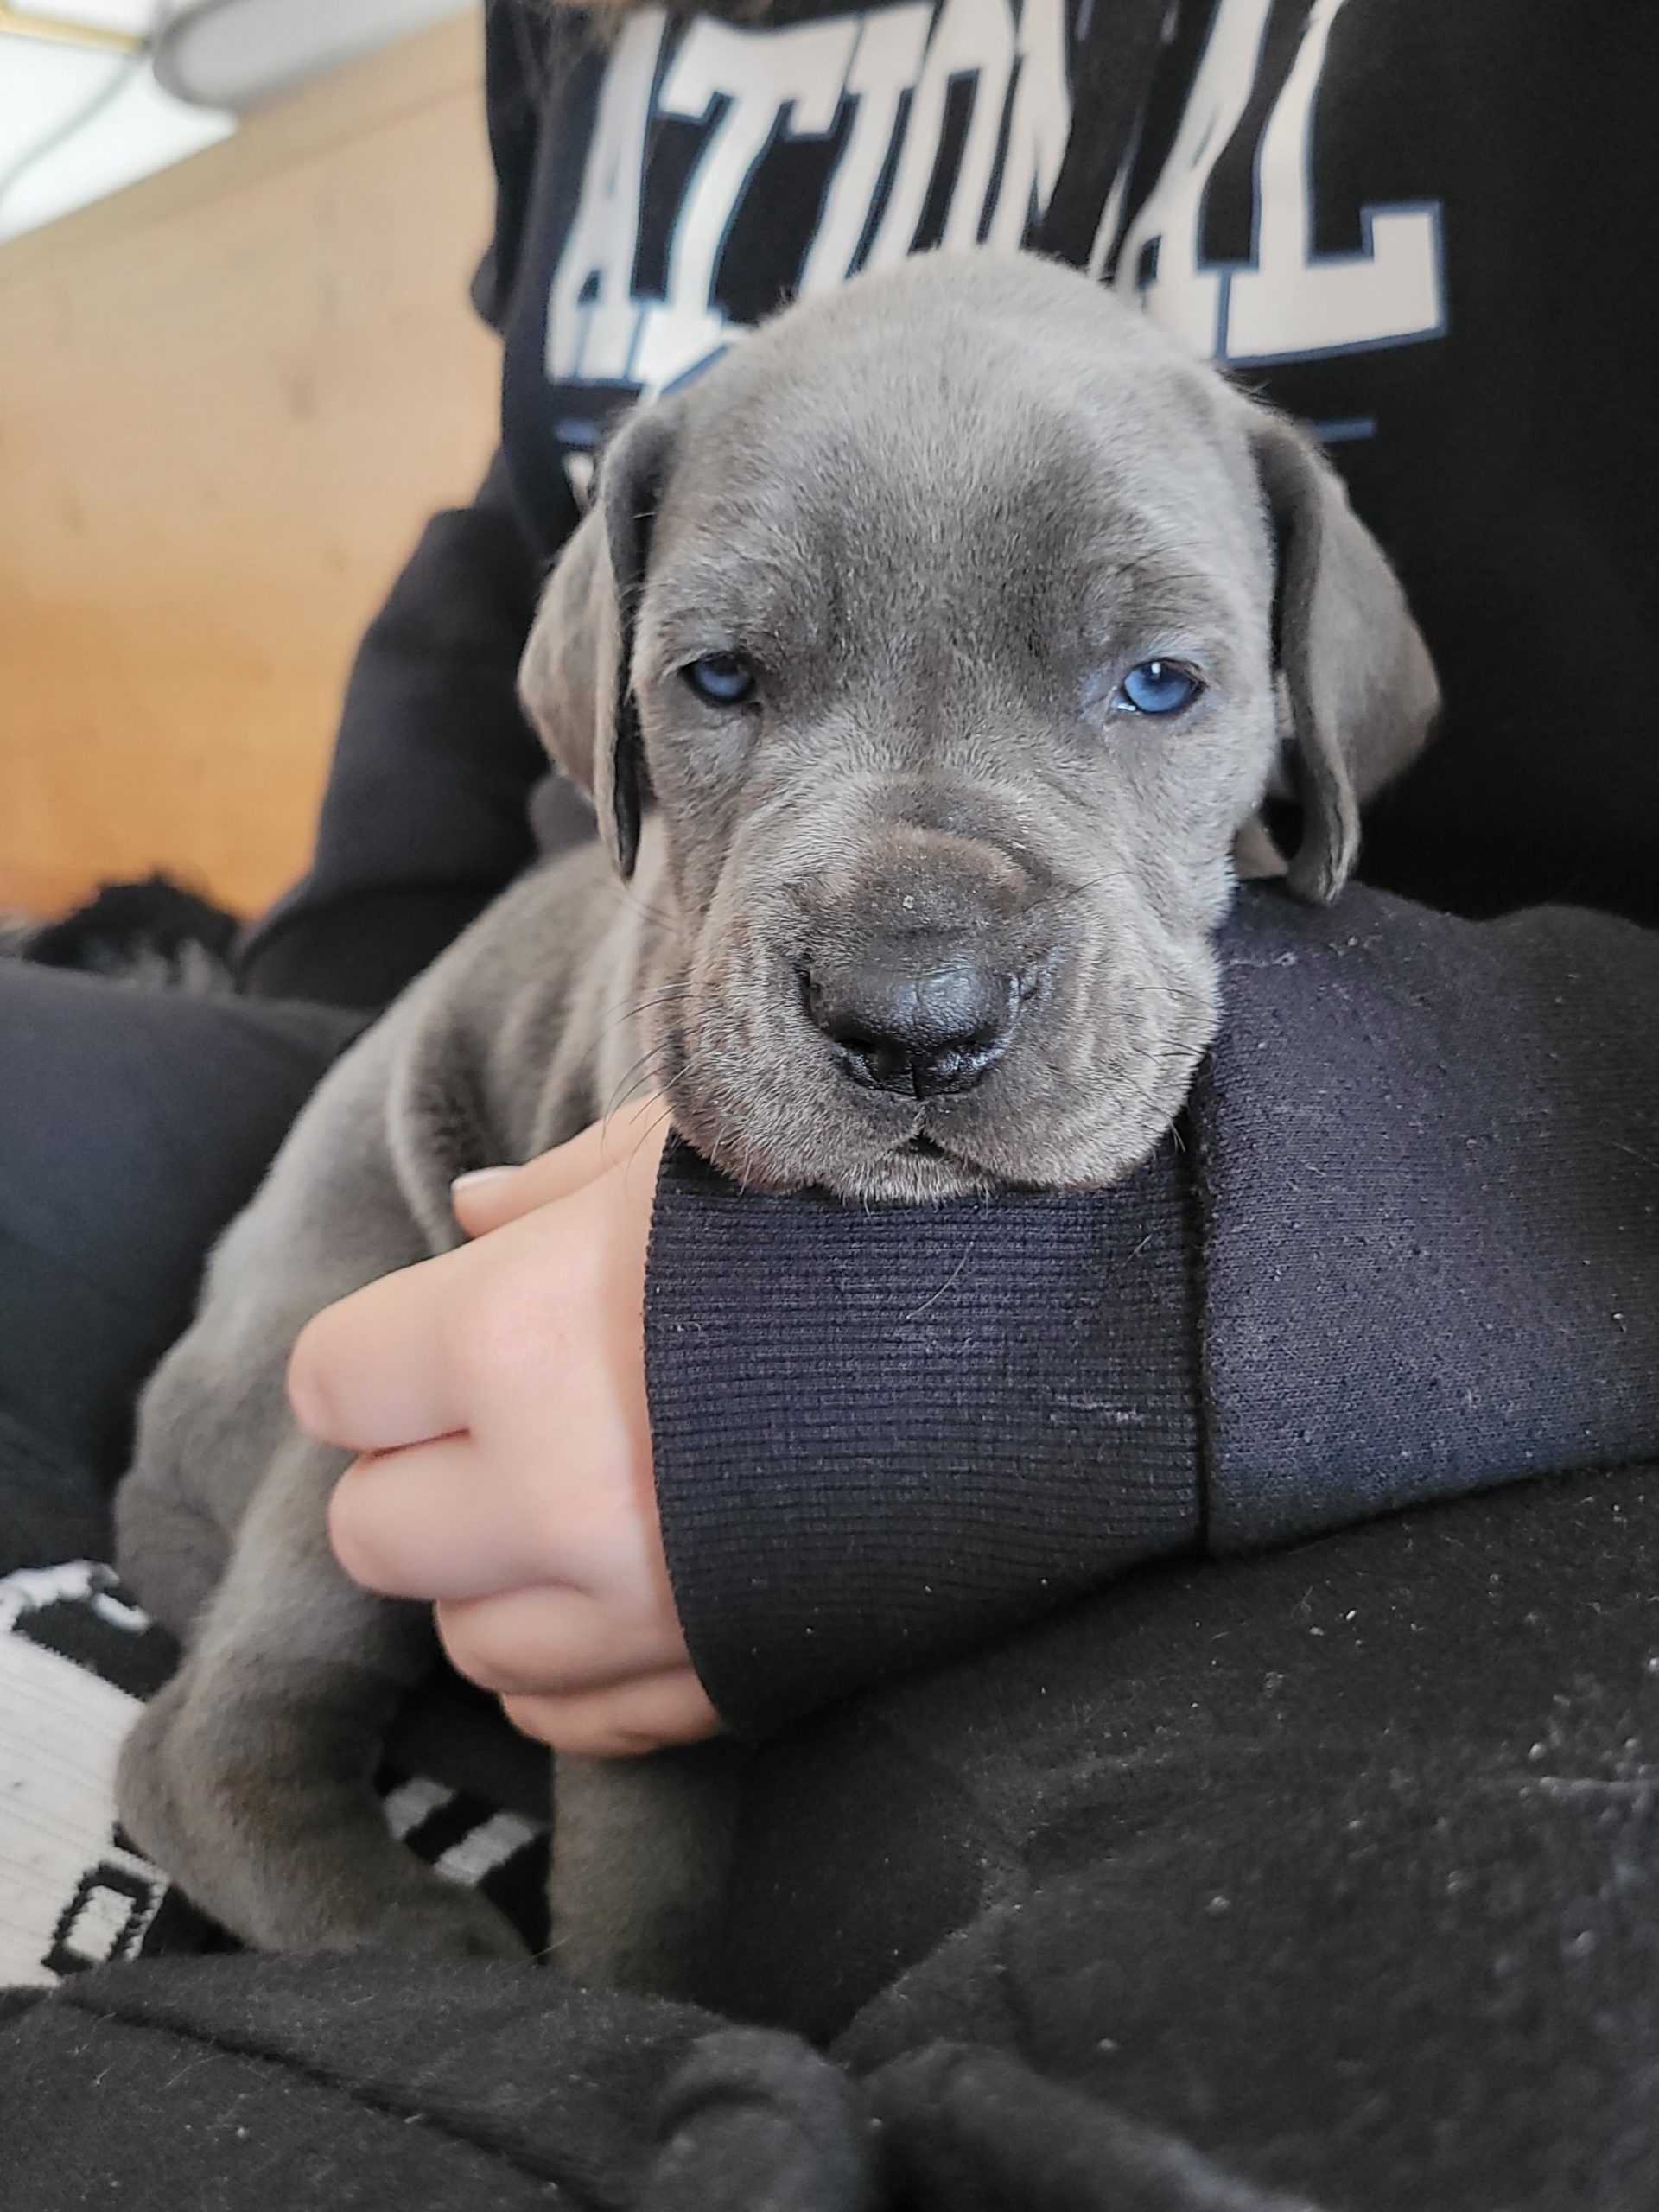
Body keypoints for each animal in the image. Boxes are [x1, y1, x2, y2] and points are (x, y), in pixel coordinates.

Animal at [113, 250, 1438, 1993]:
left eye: (1162, 684)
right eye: (721, 679)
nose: (917, 1008)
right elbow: (643, 1857)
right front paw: (631, 1990)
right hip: (345, 1348)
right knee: (210, 1737)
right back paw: (421, 1952)